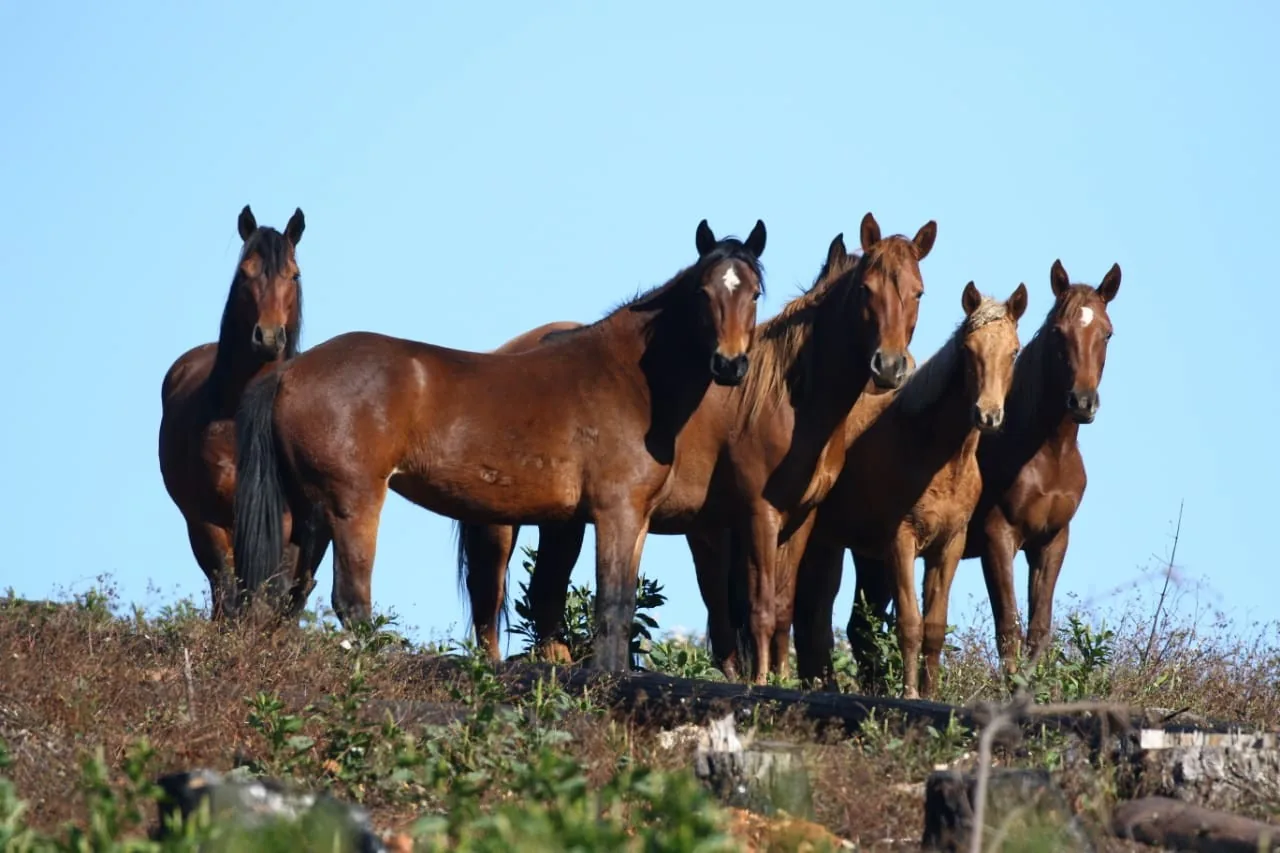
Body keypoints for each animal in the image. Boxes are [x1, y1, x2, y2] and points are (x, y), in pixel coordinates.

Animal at [158, 205, 314, 619]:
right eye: (245, 272)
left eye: (294, 274)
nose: (269, 336)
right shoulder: (209, 521)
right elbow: (229, 593)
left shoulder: (282, 523)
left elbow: (272, 593)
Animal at [231, 219, 767, 672]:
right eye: (703, 292)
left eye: (755, 292)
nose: (730, 364)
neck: (630, 378)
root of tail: (289, 372)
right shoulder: (616, 512)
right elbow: (613, 606)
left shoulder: (633, 520)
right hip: (352, 503)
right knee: (350, 598)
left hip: (307, 509)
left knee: (286, 592)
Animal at [455, 213, 937, 682]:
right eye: (866, 289)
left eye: (918, 292)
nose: (890, 367)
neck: (783, 398)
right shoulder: (753, 516)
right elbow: (753, 610)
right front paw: (762, 682)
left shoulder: (798, 520)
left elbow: (778, 611)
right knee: (494, 601)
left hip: (561, 520)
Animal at [789, 280, 1028, 699]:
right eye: (969, 349)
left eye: (1013, 351)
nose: (987, 415)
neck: (936, 455)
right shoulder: (900, 542)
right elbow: (910, 623)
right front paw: (911, 694)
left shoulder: (948, 546)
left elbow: (934, 626)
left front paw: (929, 694)